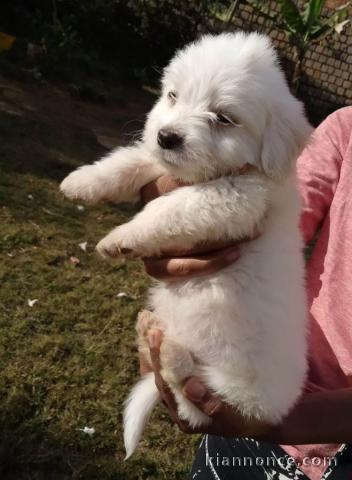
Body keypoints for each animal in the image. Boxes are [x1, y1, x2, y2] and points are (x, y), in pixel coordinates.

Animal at [59, 31, 310, 460]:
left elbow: (168, 208)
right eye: (173, 96)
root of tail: (271, 411)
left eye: (223, 118)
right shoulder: (164, 165)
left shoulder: (232, 199)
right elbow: (130, 160)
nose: (167, 137)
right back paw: (151, 334)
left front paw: (119, 238)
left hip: (235, 395)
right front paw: (83, 182)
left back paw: (168, 349)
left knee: (190, 398)